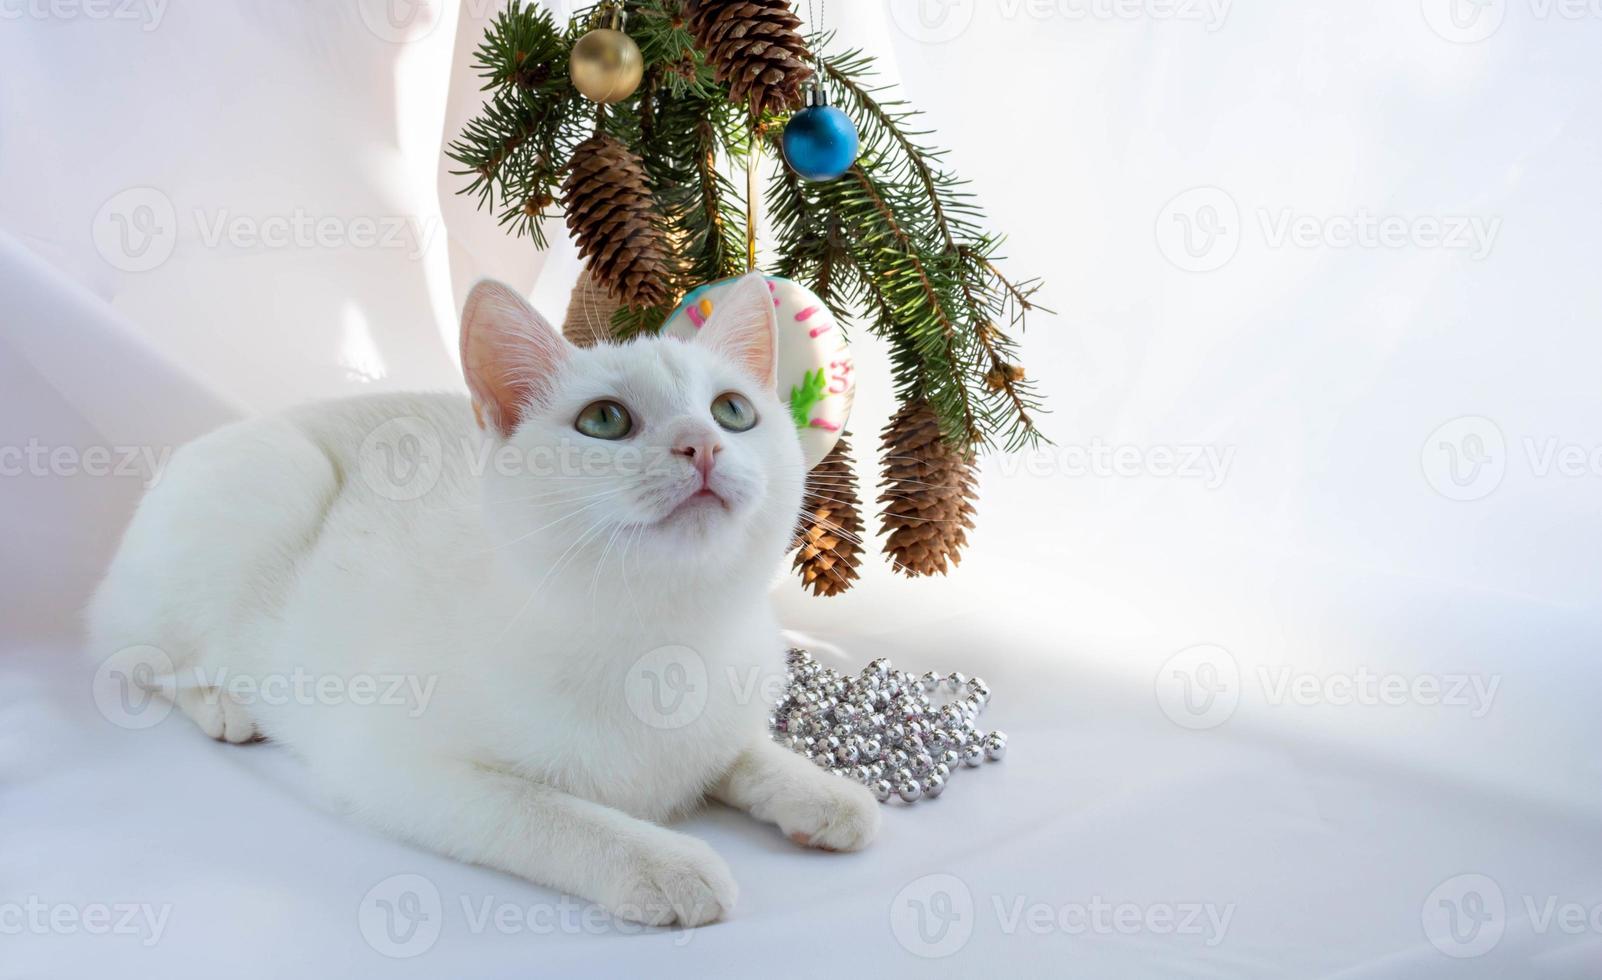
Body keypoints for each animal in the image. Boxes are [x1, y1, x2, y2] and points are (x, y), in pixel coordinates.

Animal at [86, 273, 884, 928]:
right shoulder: (391, 765)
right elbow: (553, 813)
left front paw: (823, 793)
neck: (664, 636)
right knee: (135, 656)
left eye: (732, 411)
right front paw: (665, 862)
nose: (703, 445)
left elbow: (740, 752)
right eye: (605, 421)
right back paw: (224, 704)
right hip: (277, 482)